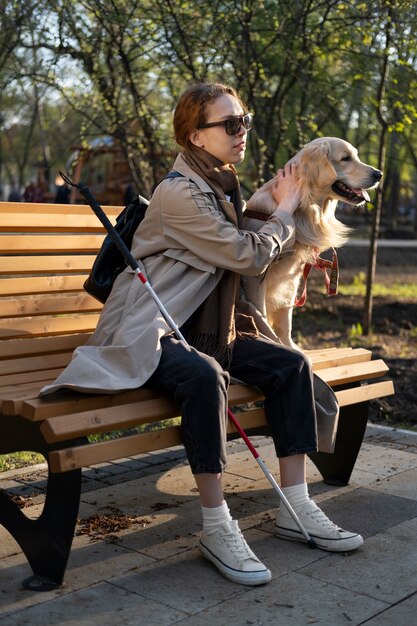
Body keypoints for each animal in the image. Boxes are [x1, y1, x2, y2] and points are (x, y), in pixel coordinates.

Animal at [242, 136, 382, 348]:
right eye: (346, 158)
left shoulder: (293, 274)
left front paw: (288, 344)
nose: (379, 174)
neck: (304, 209)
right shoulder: (255, 278)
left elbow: (286, 317)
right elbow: (260, 313)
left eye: (356, 156)